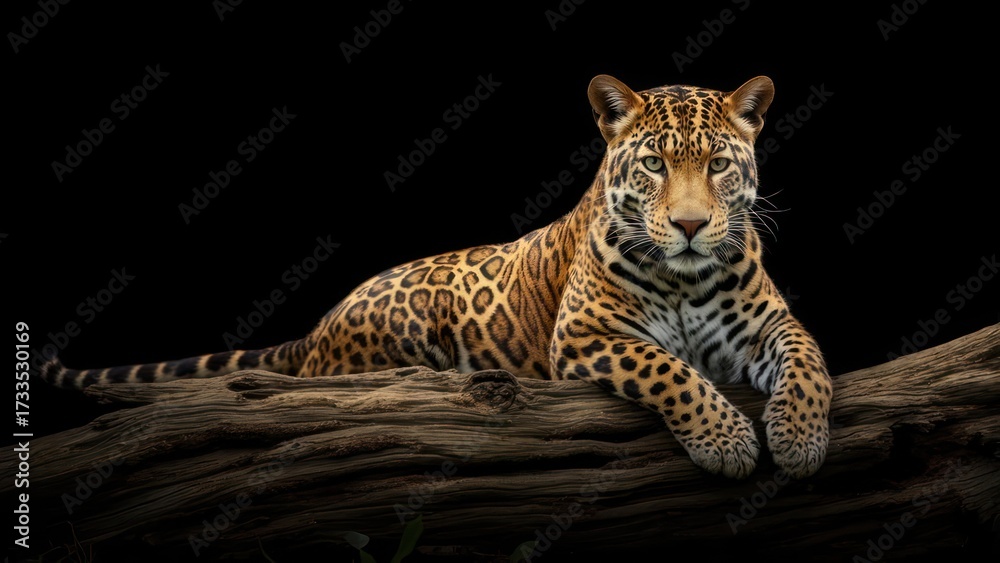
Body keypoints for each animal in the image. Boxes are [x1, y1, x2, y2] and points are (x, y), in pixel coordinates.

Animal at [42, 74, 833, 479]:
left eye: (718, 164)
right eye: (654, 166)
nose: (693, 225)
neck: (685, 278)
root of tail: (317, 327)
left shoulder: (770, 325)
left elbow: (810, 363)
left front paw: (797, 439)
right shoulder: (587, 338)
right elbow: (671, 371)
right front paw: (727, 441)